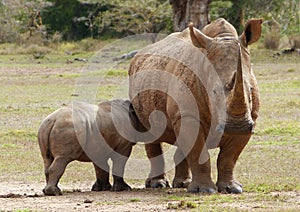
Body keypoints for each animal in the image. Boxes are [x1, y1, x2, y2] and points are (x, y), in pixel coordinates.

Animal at [129, 18, 262, 194]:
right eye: (213, 92)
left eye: (251, 90)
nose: (237, 127)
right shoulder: (188, 115)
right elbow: (199, 152)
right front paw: (204, 190)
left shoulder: (251, 118)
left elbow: (228, 157)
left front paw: (232, 188)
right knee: (151, 134)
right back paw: (158, 184)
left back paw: (183, 183)